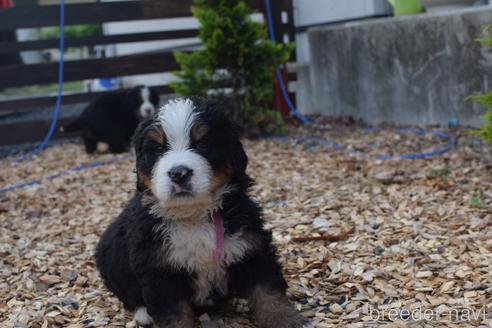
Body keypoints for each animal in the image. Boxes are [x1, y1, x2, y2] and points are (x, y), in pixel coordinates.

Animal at [95, 98, 308, 328]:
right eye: (158, 149)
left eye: (203, 144)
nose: (179, 173)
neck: (193, 215)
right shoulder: (159, 270)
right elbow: (174, 315)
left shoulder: (251, 246)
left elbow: (268, 290)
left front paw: (284, 318)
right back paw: (143, 314)